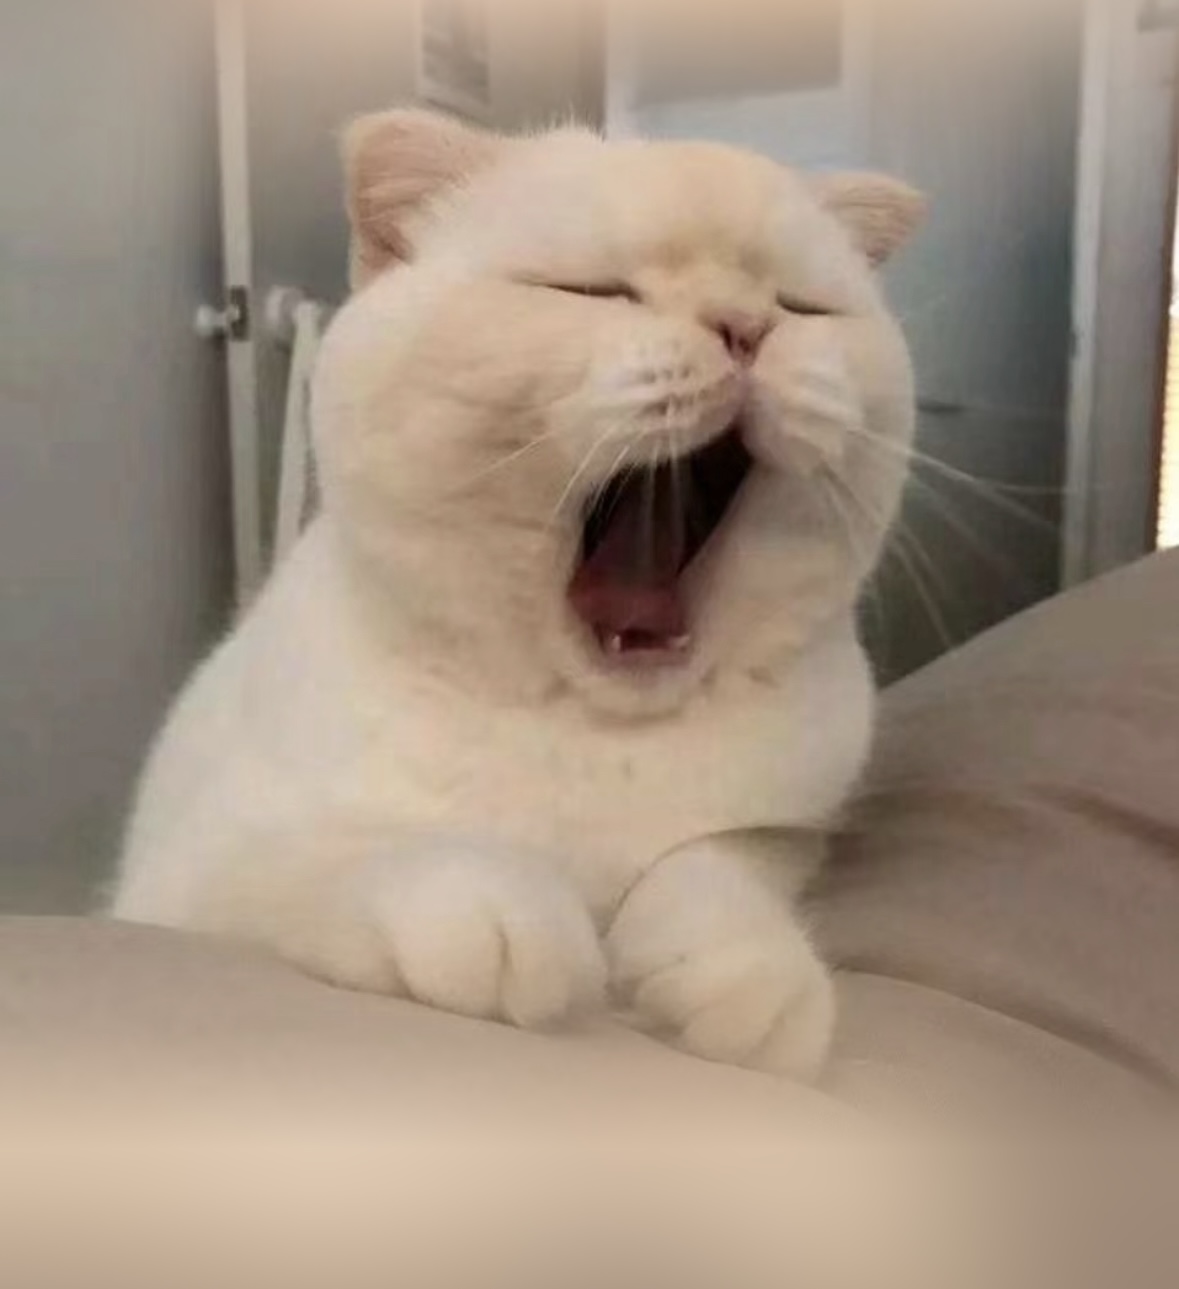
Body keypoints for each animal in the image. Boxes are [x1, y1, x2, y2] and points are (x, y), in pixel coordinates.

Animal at [112, 110, 922, 1080]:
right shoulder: (185, 876)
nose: (744, 326)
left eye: (802, 307)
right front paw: (493, 916)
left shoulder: (791, 831)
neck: (592, 734)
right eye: (595, 291)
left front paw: (746, 970)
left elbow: (716, 865)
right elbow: (337, 859)